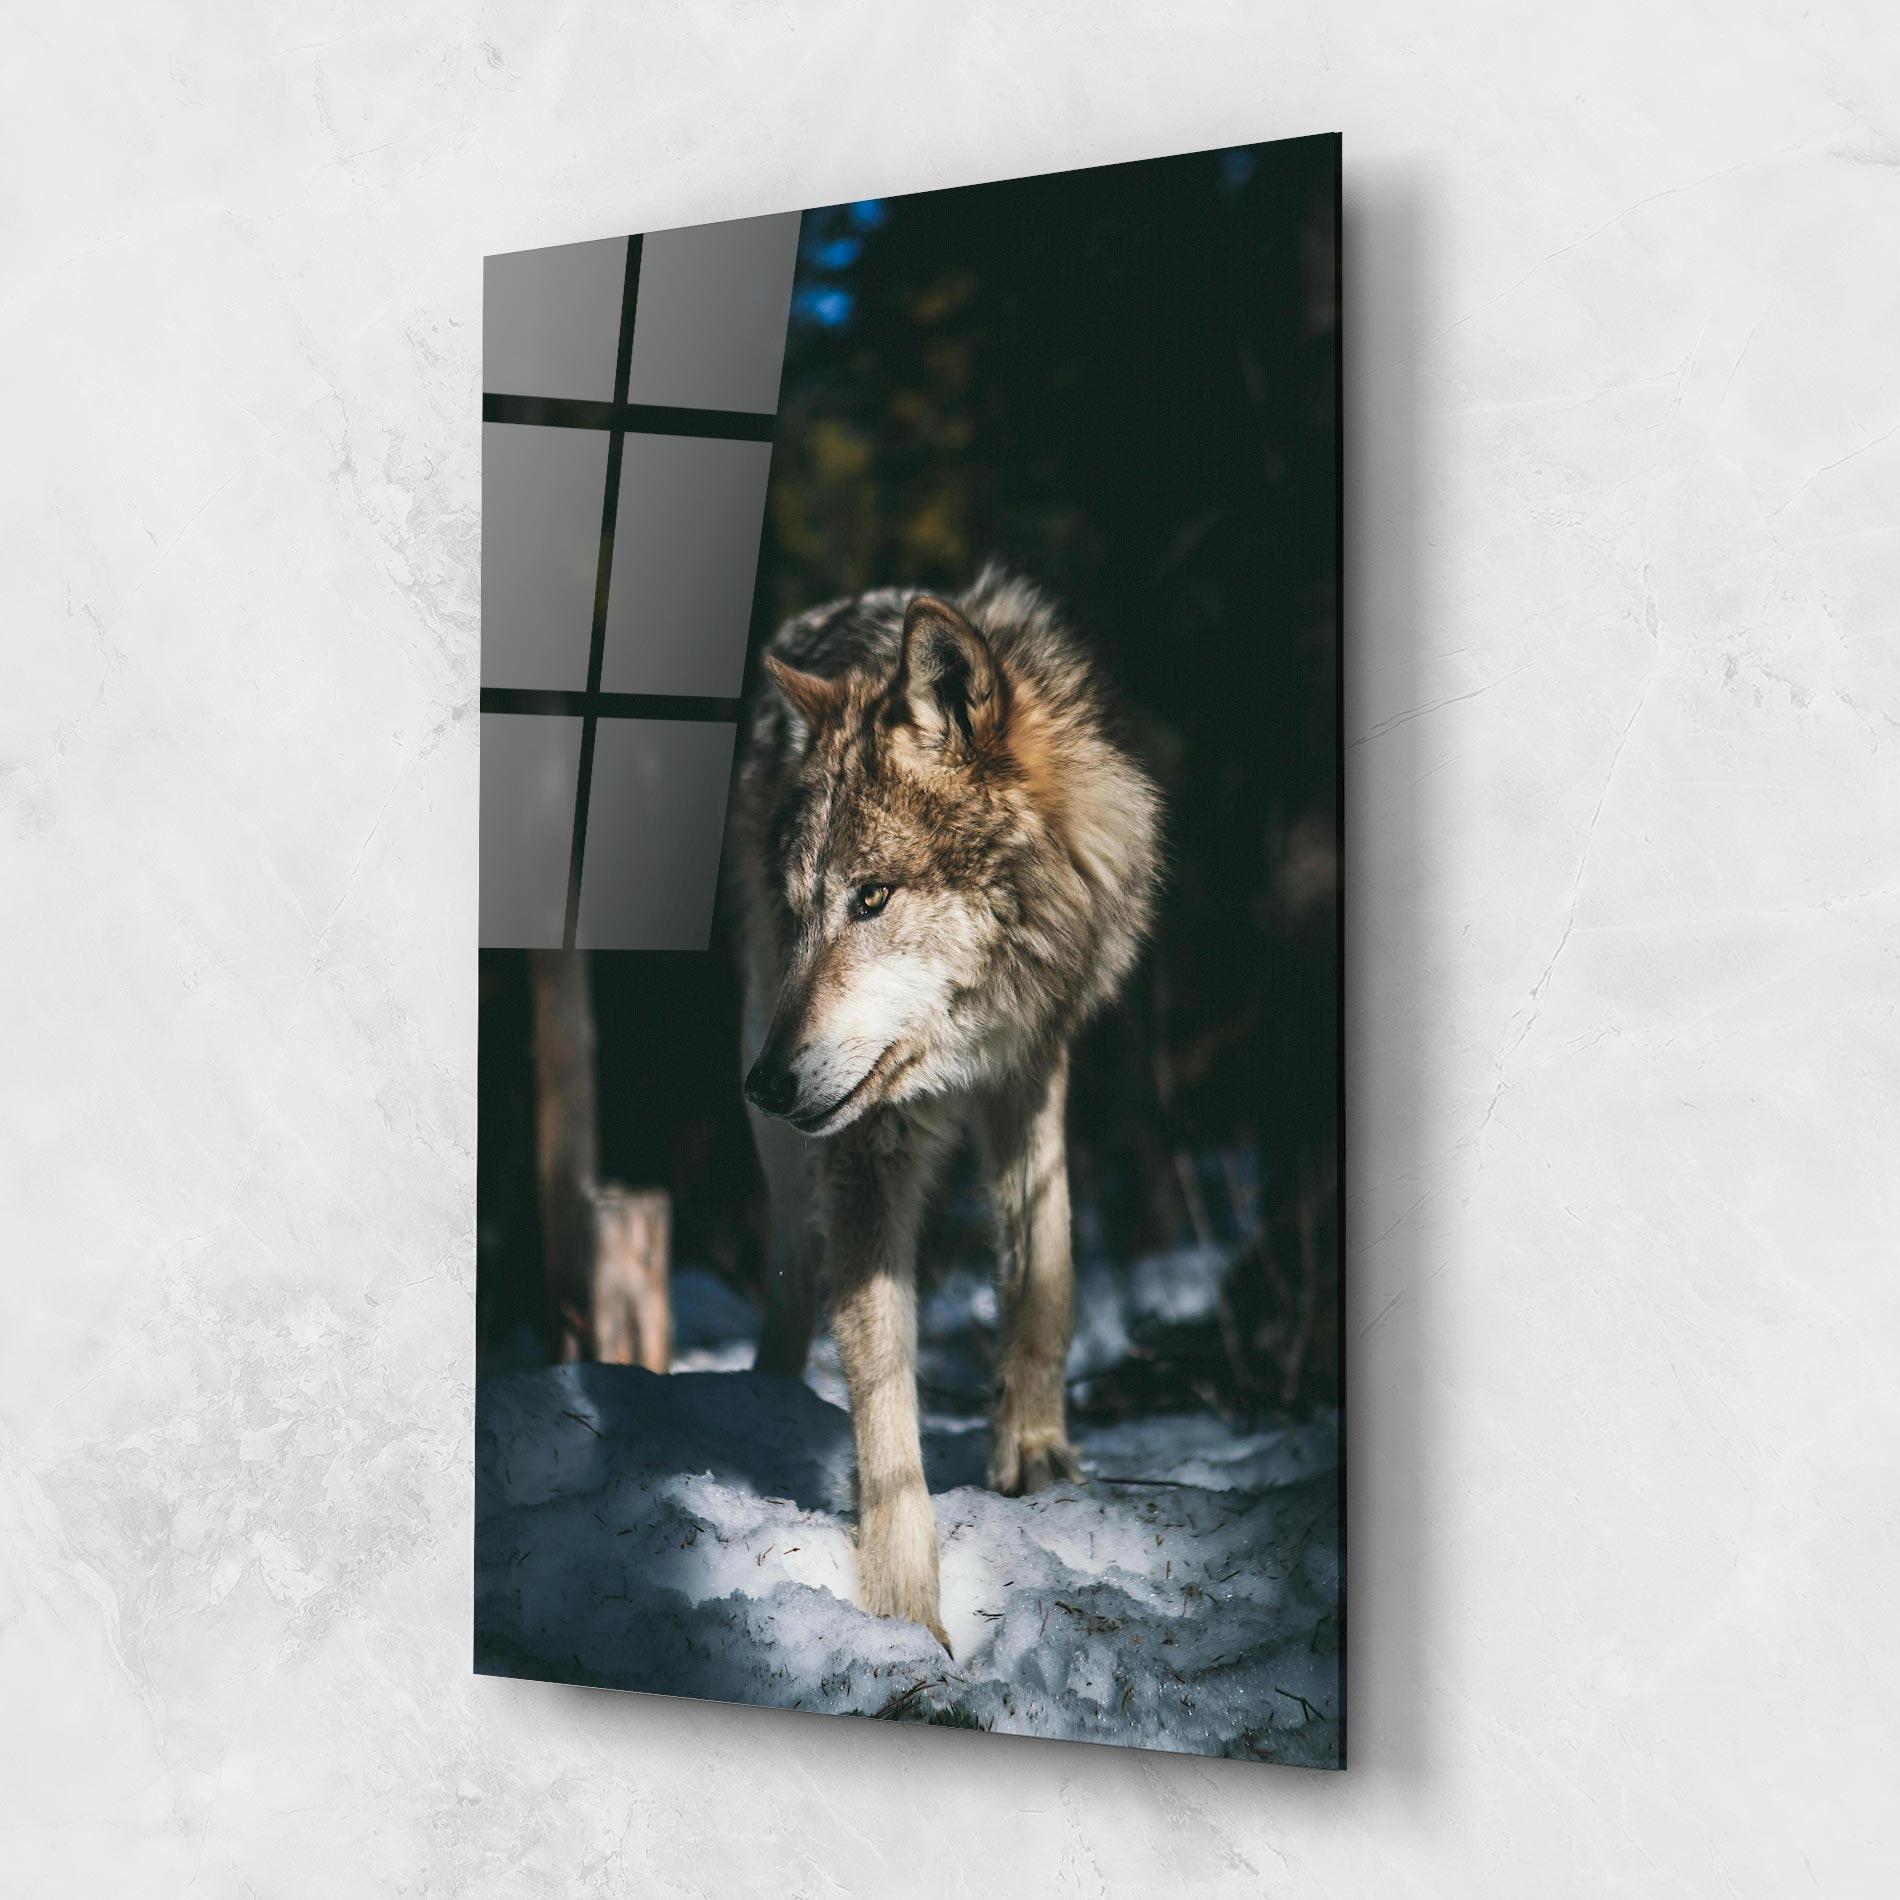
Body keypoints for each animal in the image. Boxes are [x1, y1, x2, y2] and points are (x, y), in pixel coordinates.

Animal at [727, 567, 1162, 1648]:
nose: (766, 1081)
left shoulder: (1032, 1063)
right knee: (790, 1264)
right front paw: (901, 1609)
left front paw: (1035, 1450)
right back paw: (761, 1393)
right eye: (803, 911)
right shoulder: (862, 1145)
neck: (958, 1049)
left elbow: (1046, 1264)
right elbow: (883, 1394)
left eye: (873, 897)